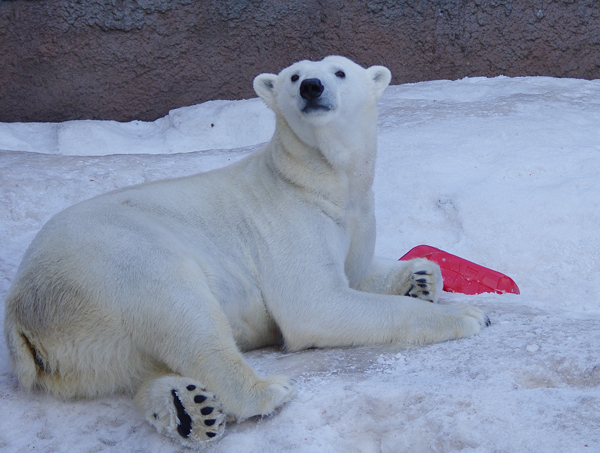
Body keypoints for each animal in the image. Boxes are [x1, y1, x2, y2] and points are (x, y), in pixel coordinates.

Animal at [3, 54, 488, 446]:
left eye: (339, 71)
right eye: (294, 75)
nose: (312, 87)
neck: (319, 179)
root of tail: (21, 306)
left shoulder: (354, 214)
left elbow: (358, 268)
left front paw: (421, 276)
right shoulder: (288, 220)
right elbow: (316, 304)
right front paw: (468, 315)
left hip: (83, 342)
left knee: (133, 363)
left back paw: (190, 408)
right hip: (115, 259)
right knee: (184, 312)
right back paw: (261, 392)